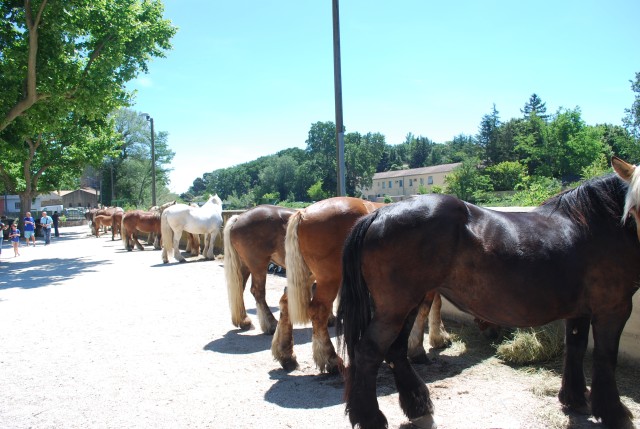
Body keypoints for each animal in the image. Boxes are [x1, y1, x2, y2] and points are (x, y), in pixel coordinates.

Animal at [223, 205, 296, 334]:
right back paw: (271, 324)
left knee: (240, 288)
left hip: (245, 265)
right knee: (258, 292)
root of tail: (238, 218)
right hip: (258, 265)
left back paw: (244, 321)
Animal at [272, 196, 451, 373]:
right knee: (319, 311)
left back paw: (286, 355)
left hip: (306, 276)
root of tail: (303, 213)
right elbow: (425, 308)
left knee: (285, 303)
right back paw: (330, 359)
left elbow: (435, 304)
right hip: (329, 279)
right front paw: (418, 349)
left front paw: (438, 336)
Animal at [336, 156, 640, 429]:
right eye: (633, 207)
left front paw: (575, 399)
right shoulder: (613, 309)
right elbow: (605, 357)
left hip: (408, 305)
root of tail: (377, 214)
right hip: (395, 308)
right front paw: (614, 413)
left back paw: (417, 407)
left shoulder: (581, 311)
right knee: (369, 352)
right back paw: (370, 418)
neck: (598, 225)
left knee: (396, 351)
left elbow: (575, 349)